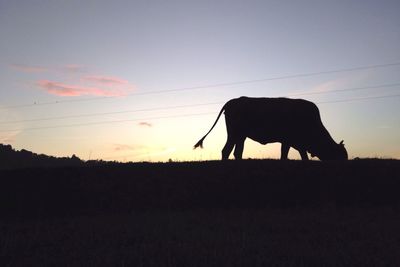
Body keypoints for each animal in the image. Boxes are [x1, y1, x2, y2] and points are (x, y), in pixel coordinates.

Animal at [194, 97, 346, 162]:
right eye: (340, 156)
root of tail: (233, 101)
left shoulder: (296, 143)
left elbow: (302, 156)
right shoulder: (288, 140)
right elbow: (285, 155)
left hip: (240, 136)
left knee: (237, 152)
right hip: (234, 134)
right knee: (227, 150)